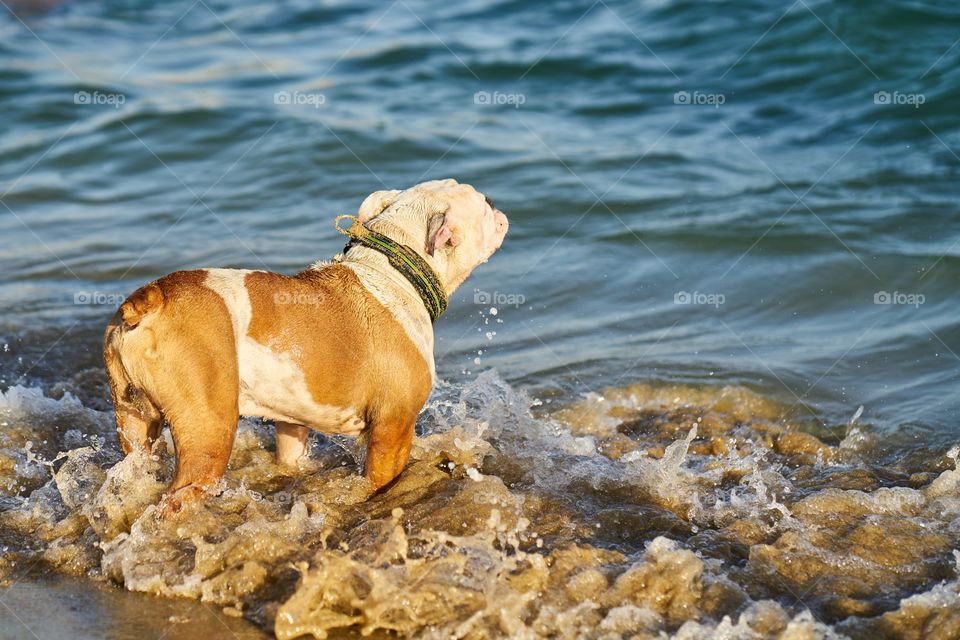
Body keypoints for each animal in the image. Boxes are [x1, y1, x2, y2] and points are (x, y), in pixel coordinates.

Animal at [103, 178, 510, 516]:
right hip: (208, 431)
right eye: (481, 202)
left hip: (133, 421)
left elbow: (291, 454)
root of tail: (148, 300)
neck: (394, 269)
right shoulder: (393, 428)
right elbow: (380, 481)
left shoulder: (292, 423)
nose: (495, 200)